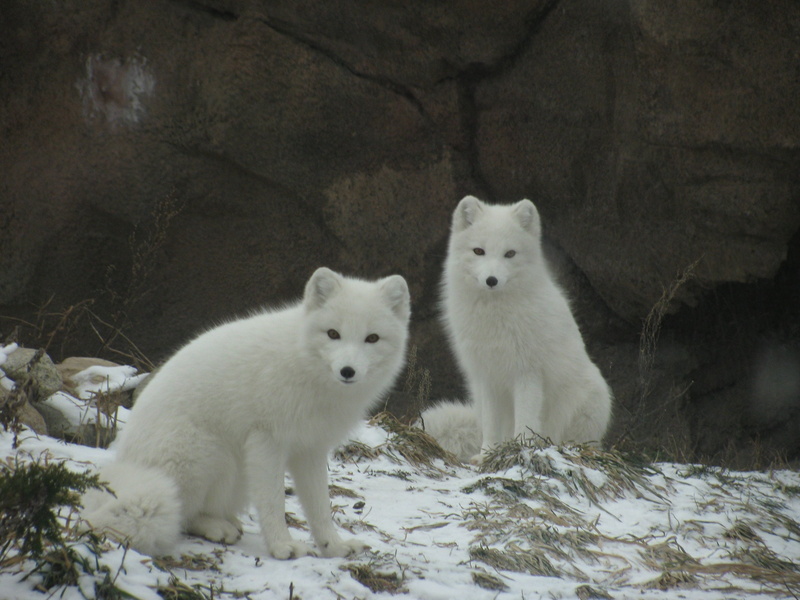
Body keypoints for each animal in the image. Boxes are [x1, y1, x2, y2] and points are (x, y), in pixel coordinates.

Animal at [82, 267, 410, 559]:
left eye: (372, 338)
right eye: (333, 334)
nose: (347, 371)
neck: (305, 366)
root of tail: (125, 464)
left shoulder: (311, 448)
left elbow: (320, 507)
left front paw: (334, 547)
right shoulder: (267, 440)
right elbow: (273, 503)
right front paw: (283, 546)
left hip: (238, 473)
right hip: (210, 455)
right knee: (183, 515)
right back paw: (216, 527)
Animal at [425, 196, 612, 463]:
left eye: (510, 253)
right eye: (478, 251)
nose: (491, 280)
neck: (494, 318)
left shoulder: (528, 373)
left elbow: (525, 421)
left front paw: (520, 450)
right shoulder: (487, 375)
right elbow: (491, 425)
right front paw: (487, 454)